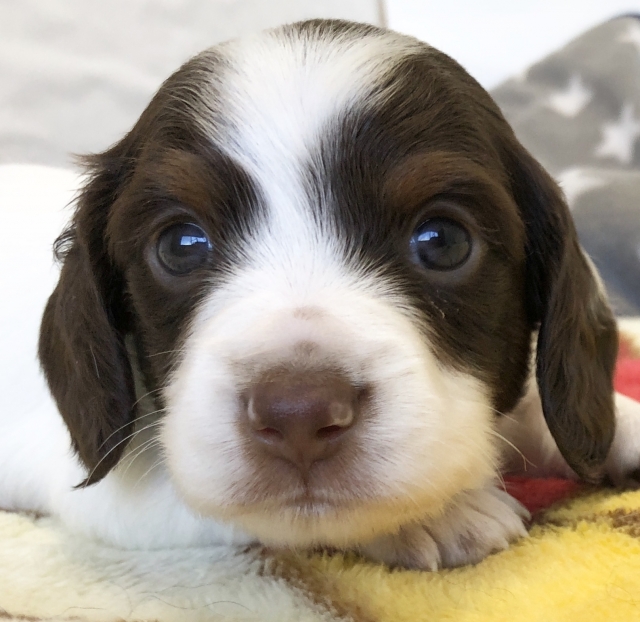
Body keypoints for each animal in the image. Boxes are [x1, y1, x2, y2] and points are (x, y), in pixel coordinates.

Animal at [2, 19, 640, 570]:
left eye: (443, 240)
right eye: (181, 245)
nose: (298, 415)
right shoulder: (116, 492)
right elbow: (254, 509)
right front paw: (429, 515)